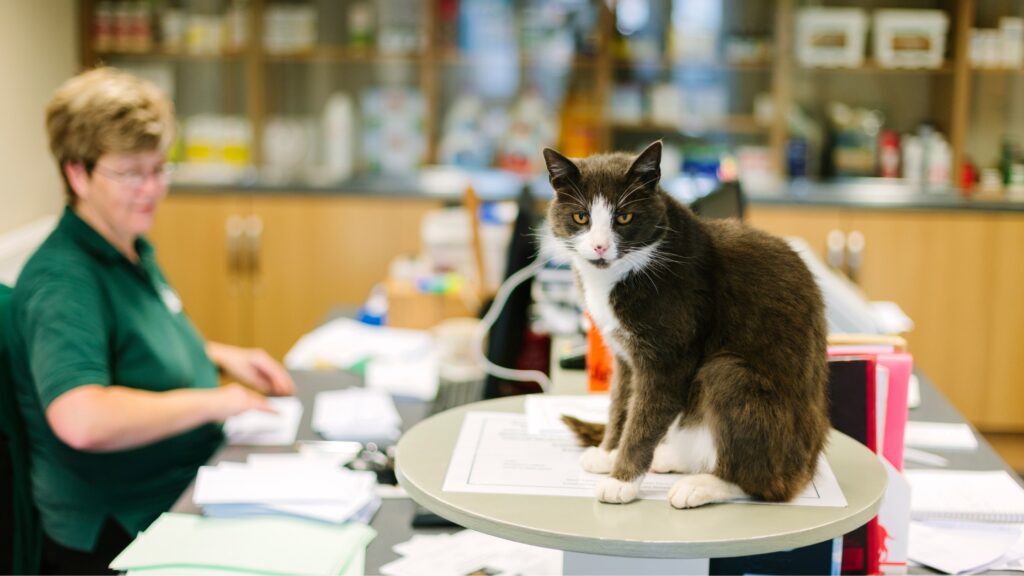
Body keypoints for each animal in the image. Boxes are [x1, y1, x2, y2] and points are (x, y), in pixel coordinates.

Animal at [540, 139, 827, 506]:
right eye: (581, 217)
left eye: (624, 217)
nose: (600, 246)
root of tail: (808, 467)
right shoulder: (624, 355)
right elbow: (621, 404)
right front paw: (608, 454)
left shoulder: (669, 354)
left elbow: (645, 417)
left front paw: (622, 481)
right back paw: (670, 458)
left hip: (736, 384)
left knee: (764, 483)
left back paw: (705, 485)